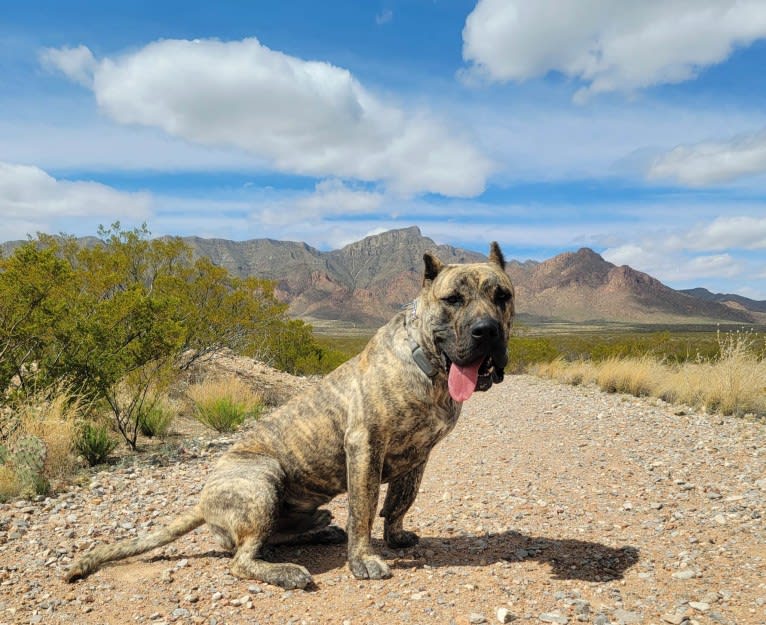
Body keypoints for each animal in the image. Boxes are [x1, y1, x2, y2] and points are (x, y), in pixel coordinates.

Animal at [64, 241, 516, 588]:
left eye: (502, 297)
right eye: (453, 299)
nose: (486, 331)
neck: (429, 365)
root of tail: (203, 501)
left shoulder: (419, 457)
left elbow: (400, 502)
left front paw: (397, 535)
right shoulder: (364, 446)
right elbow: (364, 510)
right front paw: (363, 560)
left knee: (268, 540)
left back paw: (319, 534)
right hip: (262, 482)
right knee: (242, 559)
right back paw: (287, 572)